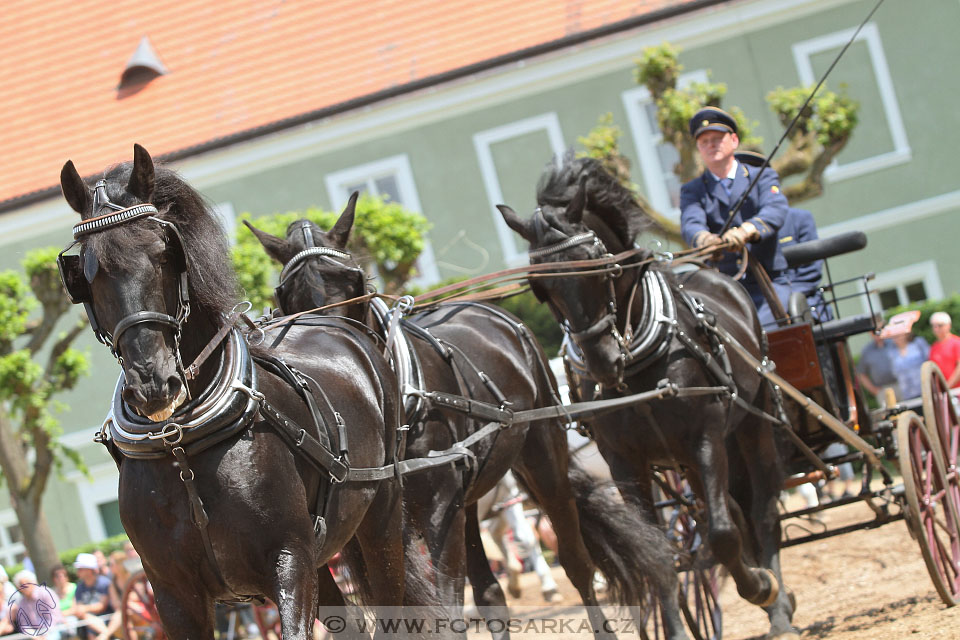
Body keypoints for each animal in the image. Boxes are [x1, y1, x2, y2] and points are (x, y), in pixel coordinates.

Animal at [58, 145, 434, 640]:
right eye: (87, 272)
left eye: (164, 252)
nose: (153, 382)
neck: (181, 445)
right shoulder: (172, 594)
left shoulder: (290, 562)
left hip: (380, 517)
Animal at [244, 205, 688, 640]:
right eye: (285, 294)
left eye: (354, 279)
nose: (332, 349)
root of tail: (494, 312)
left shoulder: (437, 507)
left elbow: (445, 610)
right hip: (468, 497)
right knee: (491, 593)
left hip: (540, 457)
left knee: (575, 561)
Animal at [496, 155, 796, 640]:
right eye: (541, 287)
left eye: (597, 266)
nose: (601, 362)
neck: (637, 363)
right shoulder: (625, 461)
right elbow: (660, 551)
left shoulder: (706, 436)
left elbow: (723, 534)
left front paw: (761, 588)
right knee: (732, 507)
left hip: (752, 425)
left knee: (762, 508)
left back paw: (779, 603)